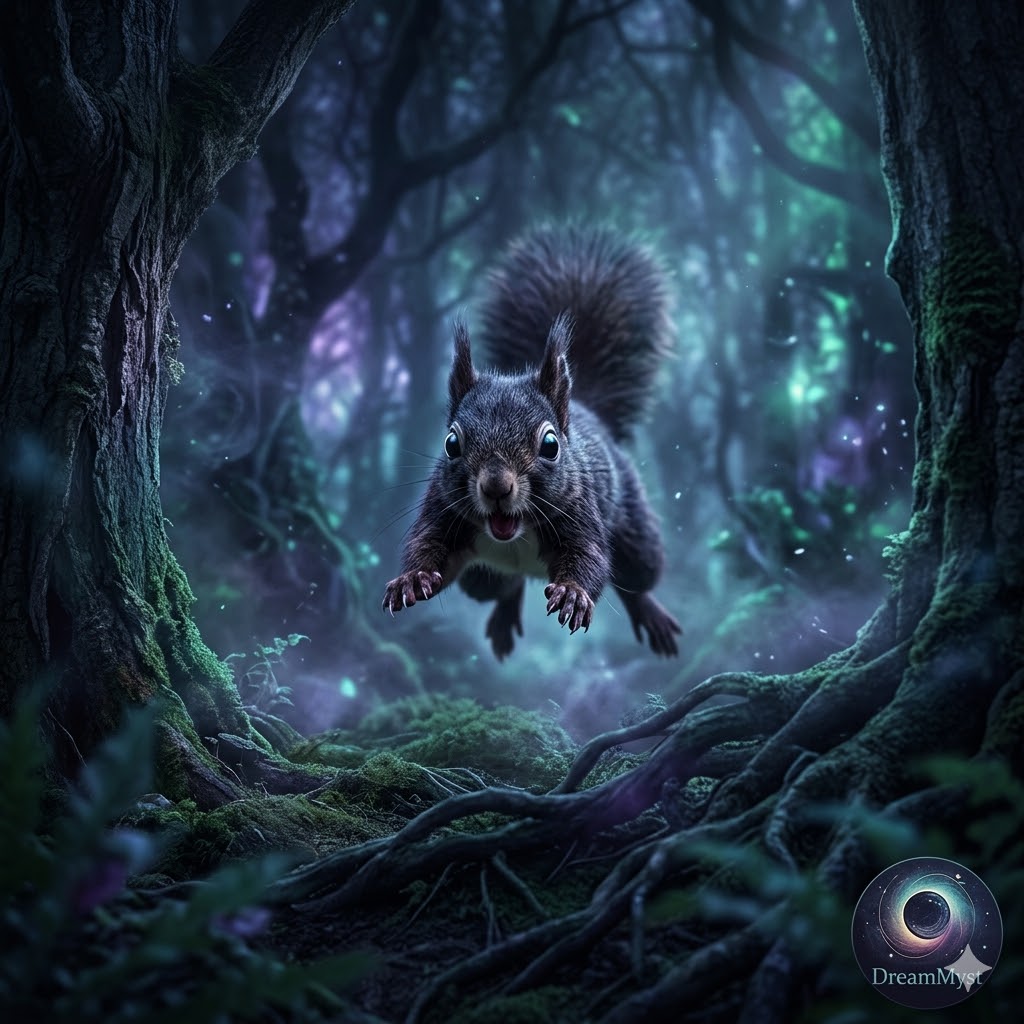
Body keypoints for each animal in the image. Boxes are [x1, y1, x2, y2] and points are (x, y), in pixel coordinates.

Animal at [382, 225, 681, 659]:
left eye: (551, 446)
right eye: (452, 443)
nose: (495, 486)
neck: (514, 531)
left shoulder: (581, 513)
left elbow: (590, 560)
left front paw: (573, 593)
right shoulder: (442, 511)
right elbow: (427, 548)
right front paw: (412, 578)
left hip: (634, 531)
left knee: (633, 578)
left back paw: (649, 610)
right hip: (482, 580)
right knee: (504, 587)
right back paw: (504, 616)